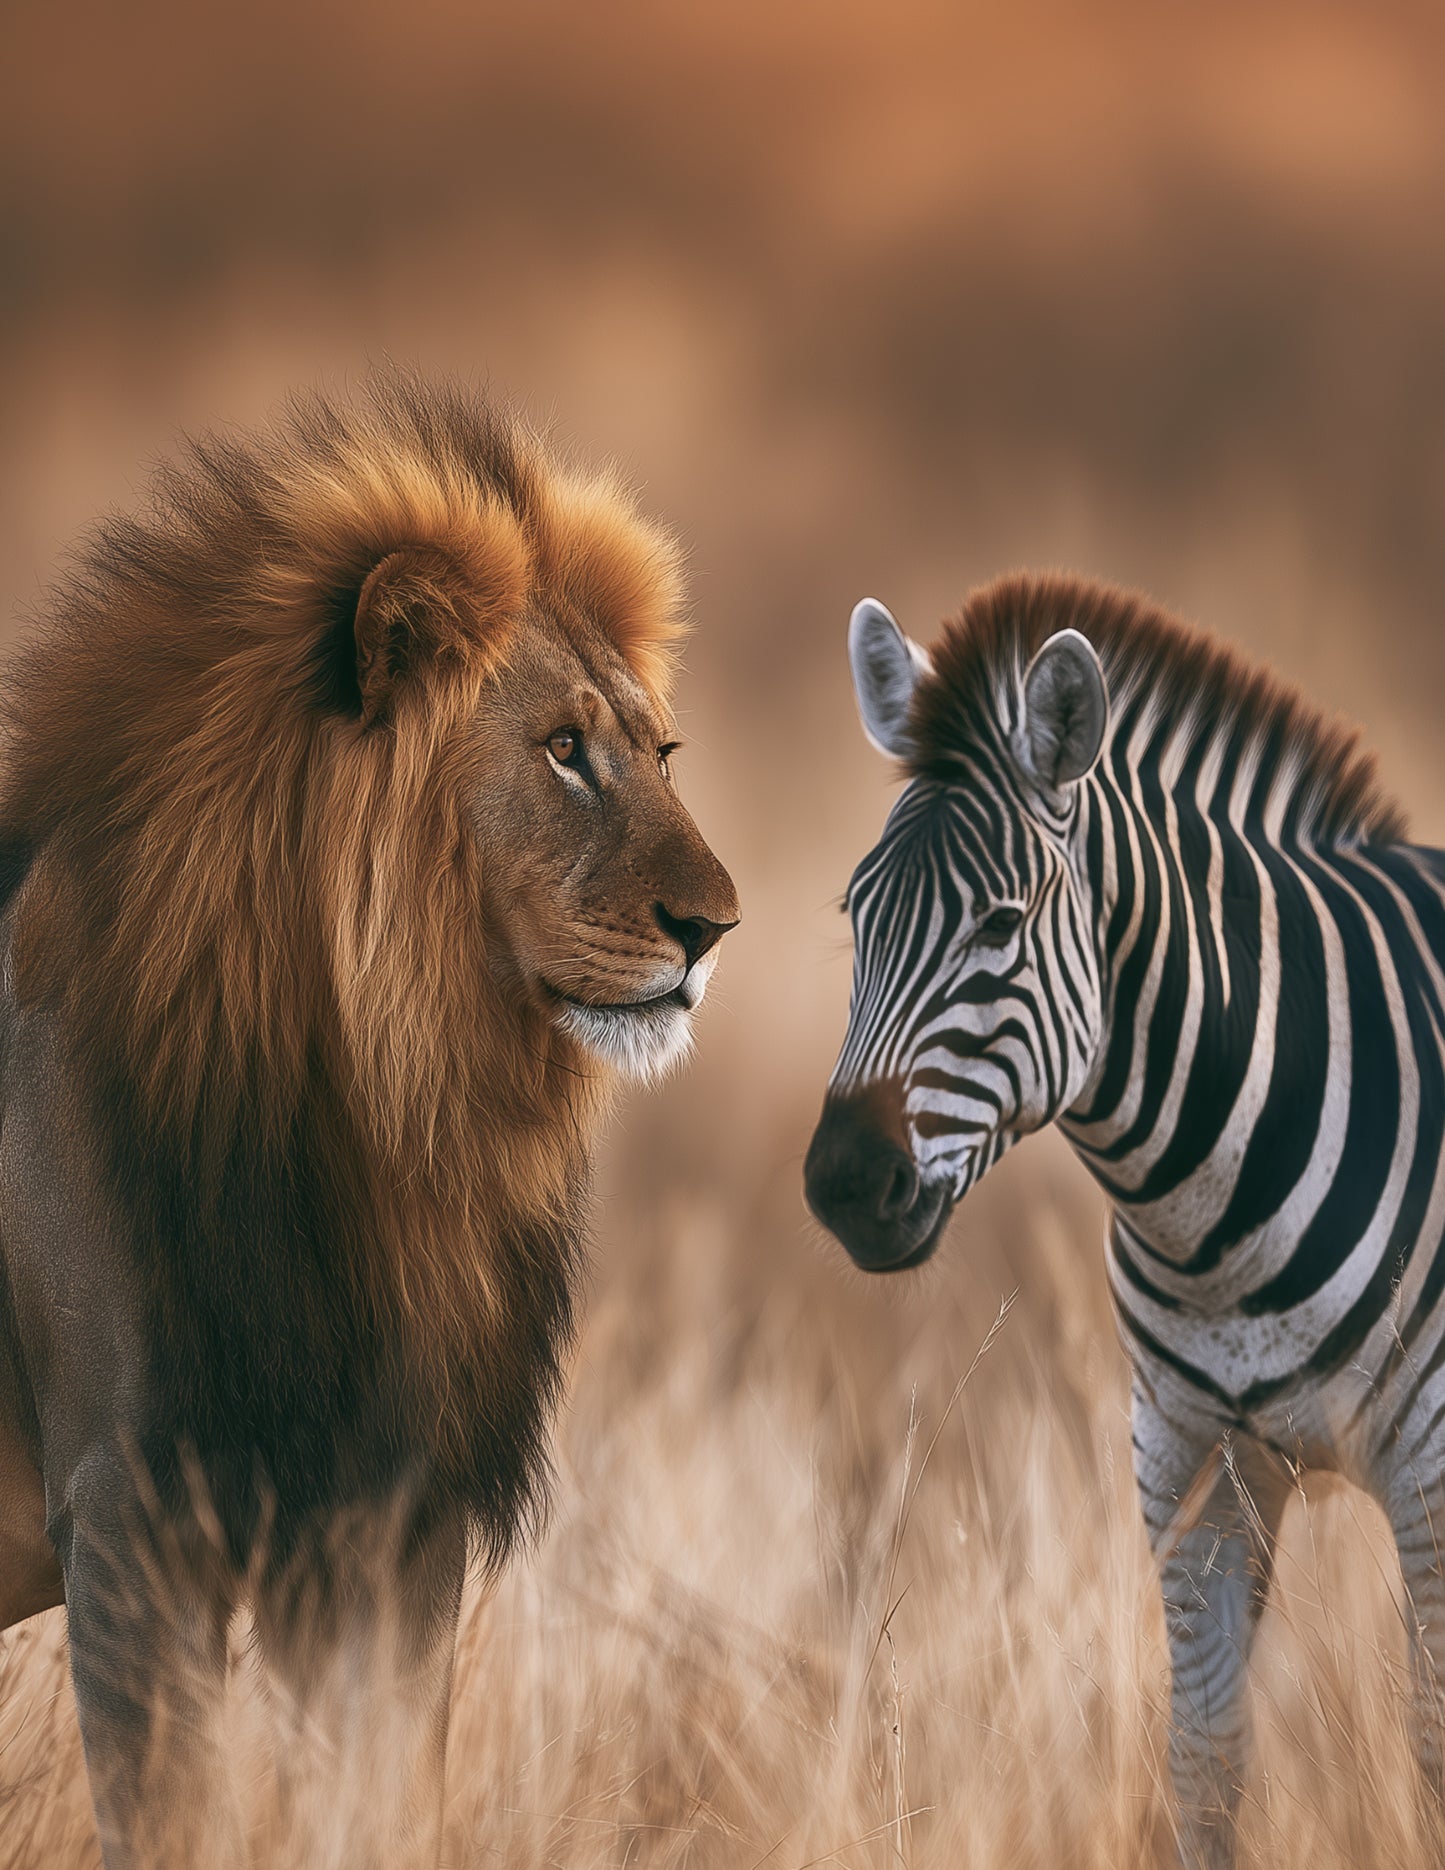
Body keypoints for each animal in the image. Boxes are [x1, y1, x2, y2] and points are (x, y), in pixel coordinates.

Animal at [0, 372, 738, 1867]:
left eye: (659, 751)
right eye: (562, 750)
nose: (714, 926)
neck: (371, 1111)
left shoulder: (385, 1519)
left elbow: (381, 1802)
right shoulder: (127, 1508)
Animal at [804, 572, 1445, 1867]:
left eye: (998, 927)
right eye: (854, 913)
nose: (843, 1182)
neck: (1214, 1226)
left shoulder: (1435, 1477)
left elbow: (1428, 1749)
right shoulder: (1189, 1468)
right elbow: (1202, 1768)